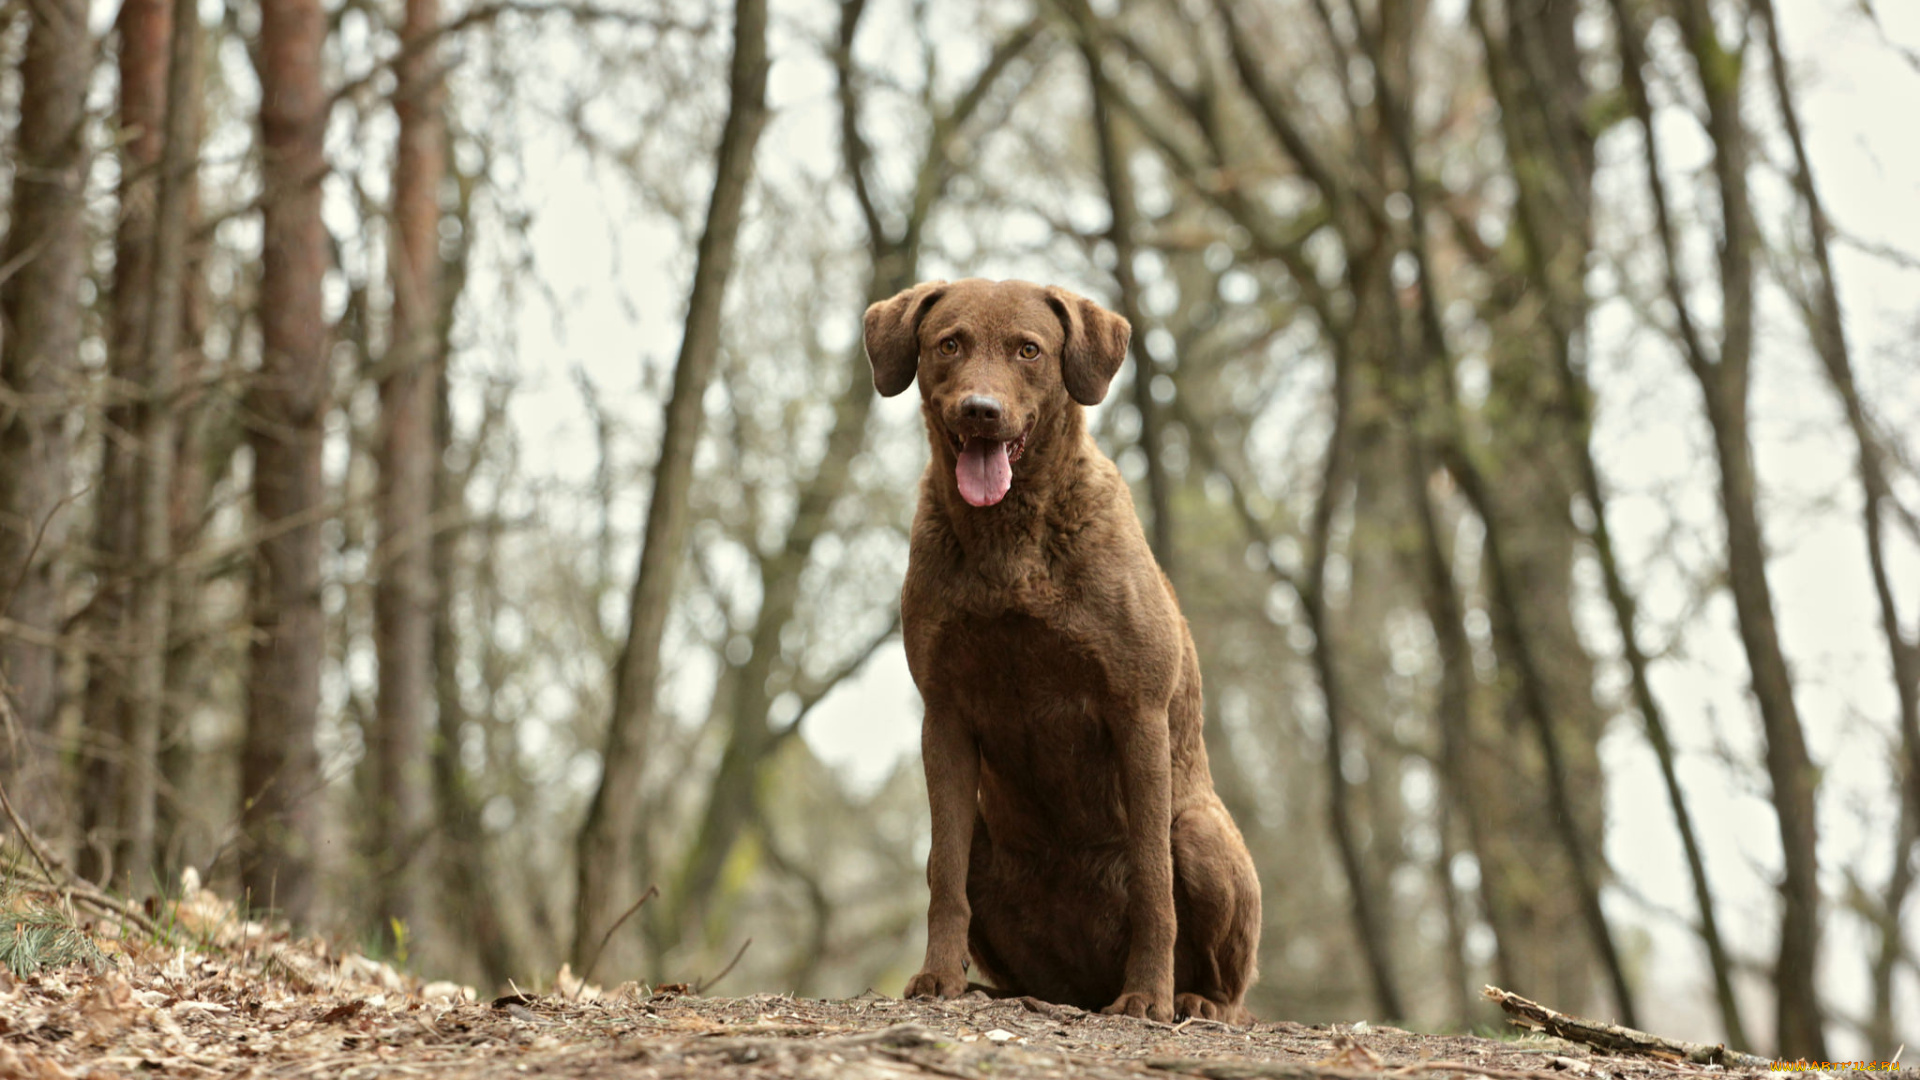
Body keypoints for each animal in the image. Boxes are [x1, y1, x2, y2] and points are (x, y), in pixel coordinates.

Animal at [867, 274, 1259, 1014]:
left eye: (1029, 350)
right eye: (950, 343)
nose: (981, 411)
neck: (1010, 543)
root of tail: (1082, 988)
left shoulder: (1137, 709)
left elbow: (1154, 884)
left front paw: (1148, 997)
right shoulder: (945, 713)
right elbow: (943, 876)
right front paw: (937, 977)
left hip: (1201, 834)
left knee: (1229, 979)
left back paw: (1191, 1001)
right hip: (990, 842)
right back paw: (996, 989)